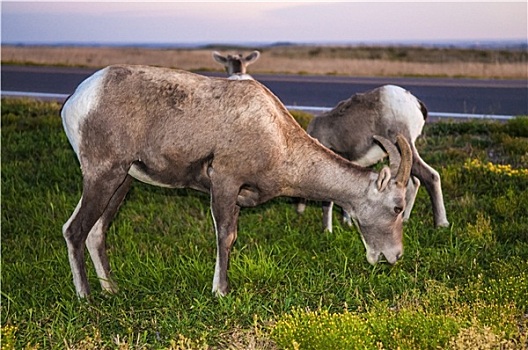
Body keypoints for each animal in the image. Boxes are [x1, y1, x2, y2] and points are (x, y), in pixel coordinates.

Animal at [58, 64, 412, 296]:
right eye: (397, 207)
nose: (395, 257)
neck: (276, 136)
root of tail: (78, 99)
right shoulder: (225, 183)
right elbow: (226, 237)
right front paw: (221, 291)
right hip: (104, 175)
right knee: (74, 229)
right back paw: (85, 297)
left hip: (122, 182)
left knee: (96, 232)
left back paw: (112, 290)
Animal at [296, 85, 450, 232]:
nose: (298, 212)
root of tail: (415, 103)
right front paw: (347, 223)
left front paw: (327, 231)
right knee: (414, 182)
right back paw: (404, 220)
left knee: (431, 176)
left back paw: (441, 224)